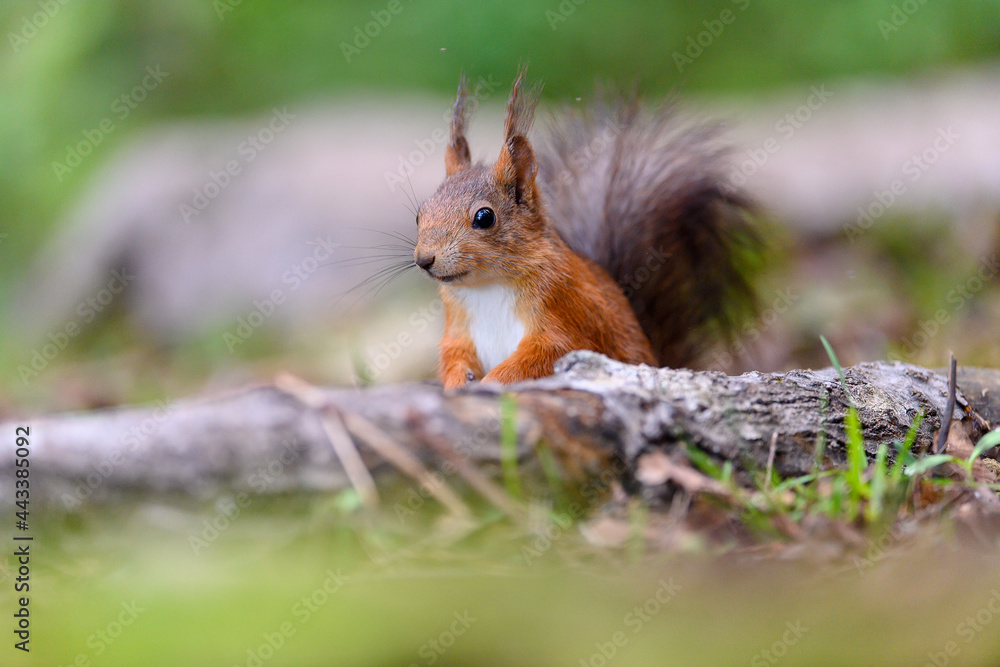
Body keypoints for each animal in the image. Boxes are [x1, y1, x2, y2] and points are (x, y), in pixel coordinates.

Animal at [414, 70, 758, 390]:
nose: (424, 259)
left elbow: (544, 355)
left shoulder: (565, 317)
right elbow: (453, 357)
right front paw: (458, 383)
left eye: (485, 217)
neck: (487, 287)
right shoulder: (458, 333)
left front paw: (493, 382)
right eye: (420, 214)